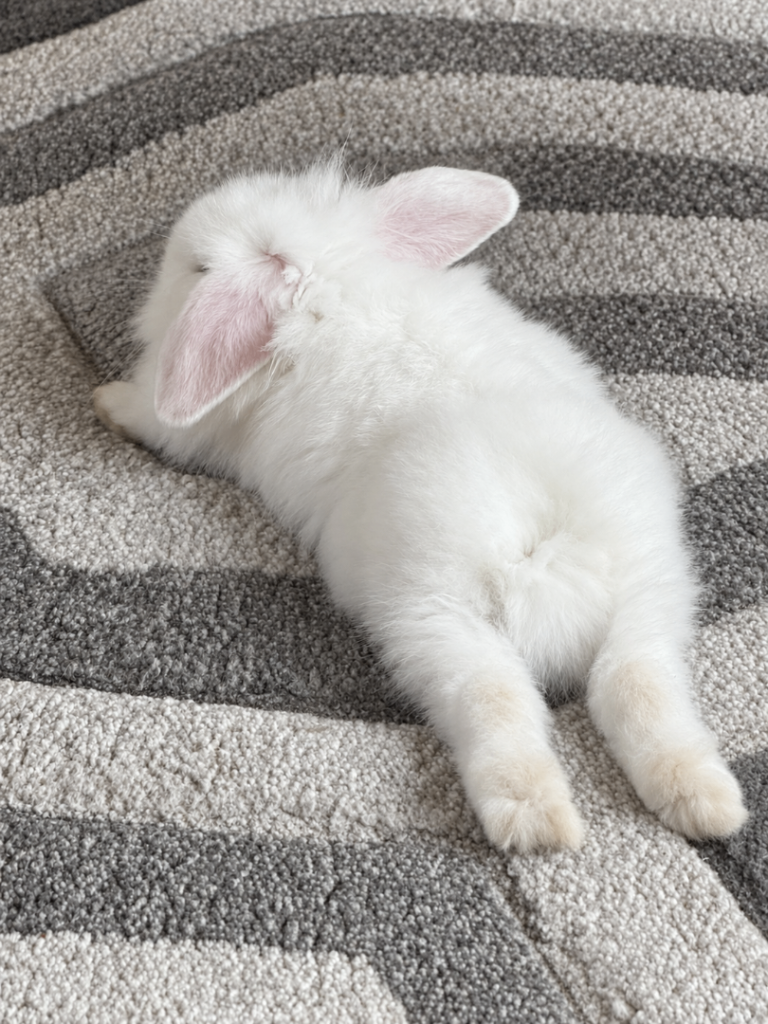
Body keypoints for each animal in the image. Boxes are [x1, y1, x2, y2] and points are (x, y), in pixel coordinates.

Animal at [93, 161, 748, 853]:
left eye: (198, 267)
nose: (176, 246)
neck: (336, 284)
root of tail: (546, 556)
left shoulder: (195, 429)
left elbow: (154, 419)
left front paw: (106, 401)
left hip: (434, 620)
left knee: (498, 698)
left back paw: (535, 822)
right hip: (651, 592)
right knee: (635, 684)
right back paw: (703, 803)